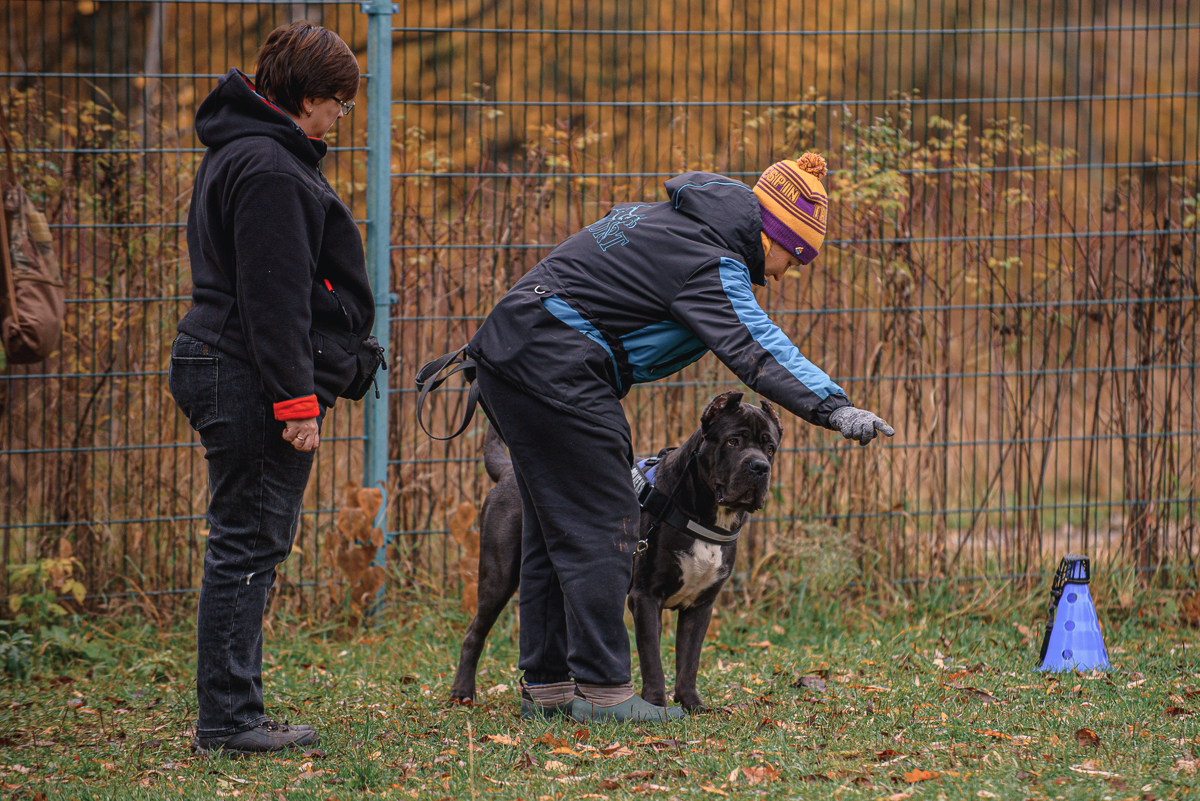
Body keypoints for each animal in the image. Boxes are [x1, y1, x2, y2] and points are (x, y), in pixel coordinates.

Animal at [448, 390, 777, 709]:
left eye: (771, 448)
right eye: (733, 441)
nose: (760, 466)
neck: (704, 514)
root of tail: (507, 473)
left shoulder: (700, 605)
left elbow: (689, 660)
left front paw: (693, 704)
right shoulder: (646, 597)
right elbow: (653, 659)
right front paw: (656, 704)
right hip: (498, 576)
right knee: (474, 633)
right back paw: (463, 692)